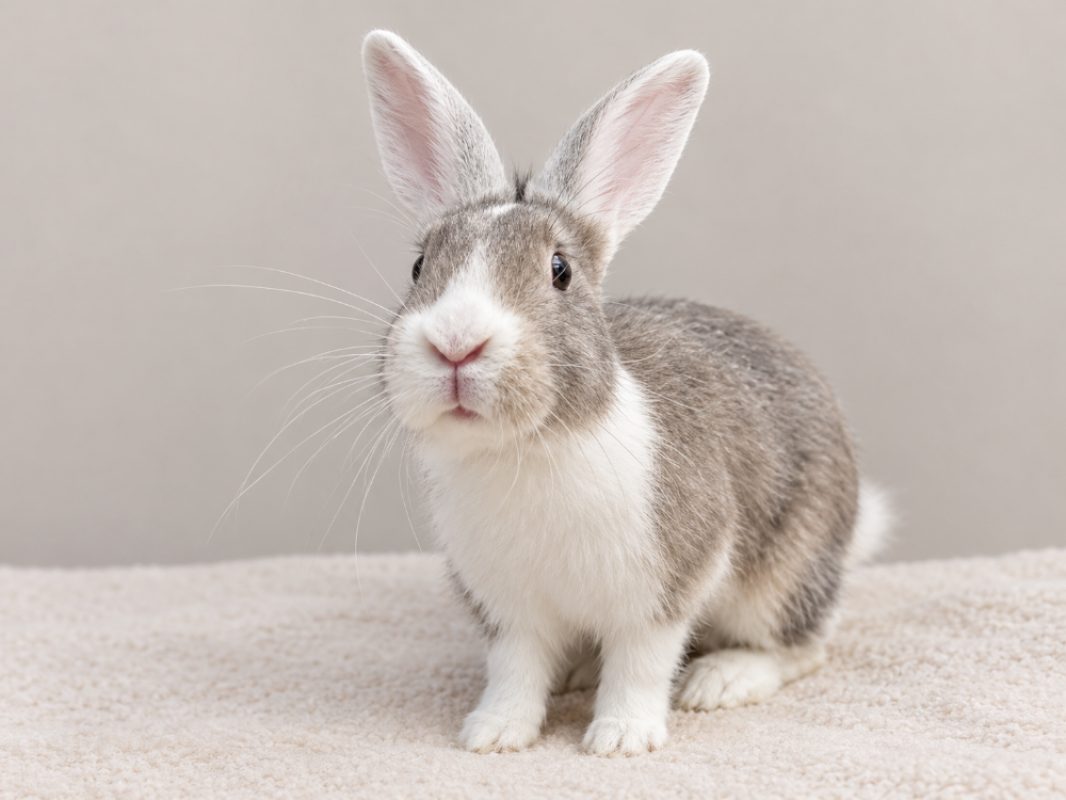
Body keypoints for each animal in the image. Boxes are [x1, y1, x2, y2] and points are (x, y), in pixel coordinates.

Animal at [360, 30, 891, 756]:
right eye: (419, 267)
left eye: (560, 270)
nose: (456, 342)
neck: (529, 449)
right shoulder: (509, 610)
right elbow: (515, 669)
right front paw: (493, 733)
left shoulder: (664, 588)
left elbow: (642, 663)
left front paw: (620, 738)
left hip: (785, 572)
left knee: (801, 646)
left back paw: (720, 681)